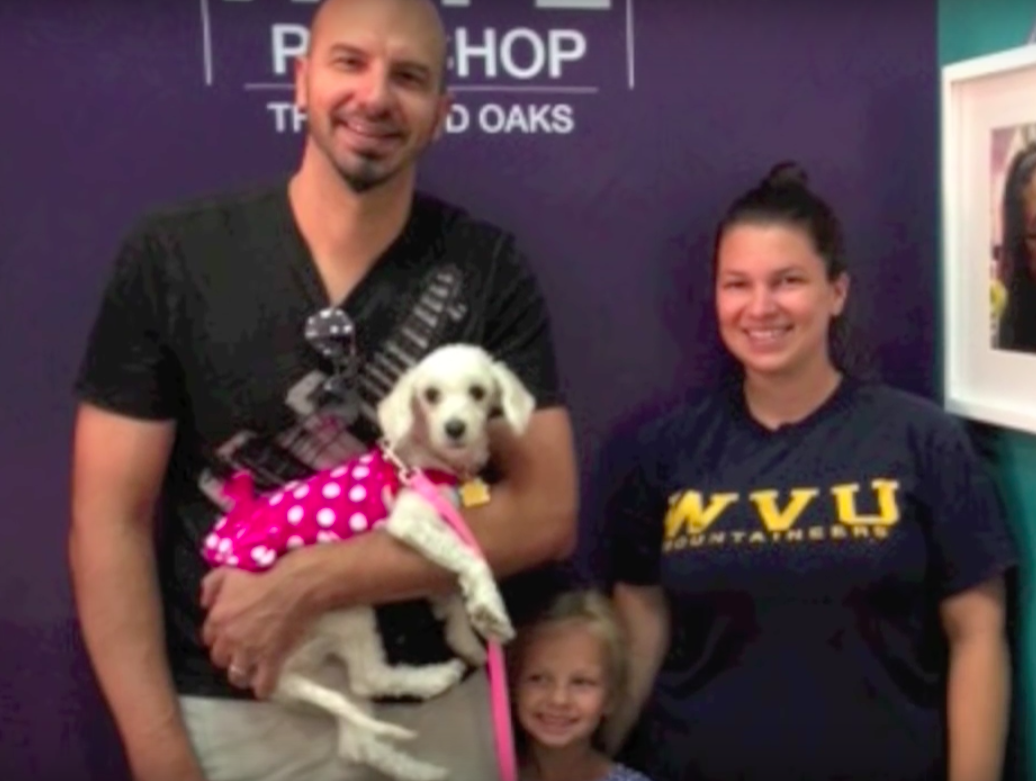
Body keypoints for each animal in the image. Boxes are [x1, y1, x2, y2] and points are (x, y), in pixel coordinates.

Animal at [201, 343, 535, 780]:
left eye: (478, 392)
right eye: (430, 395)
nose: (455, 428)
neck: (428, 465)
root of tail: (278, 680)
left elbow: (449, 592)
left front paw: (469, 636)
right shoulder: (410, 523)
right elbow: (472, 559)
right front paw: (490, 611)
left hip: (326, 668)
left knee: (358, 743)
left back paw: (421, 771)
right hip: (344, 611)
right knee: (367, 679)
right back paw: (433, 679)